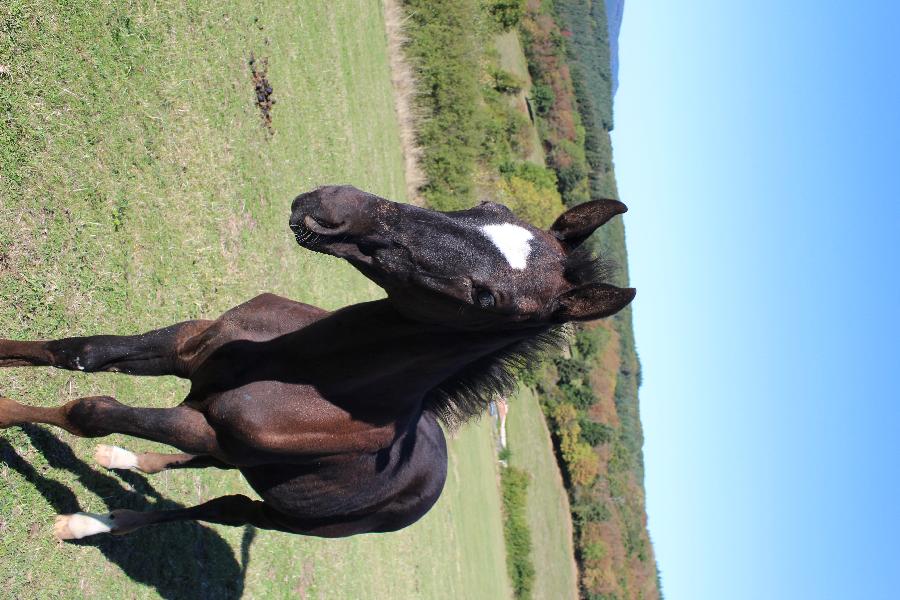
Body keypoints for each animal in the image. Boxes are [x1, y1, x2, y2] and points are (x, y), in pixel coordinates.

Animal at [0, 185, 635, 540]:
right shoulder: (191, 348)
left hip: (283, 512)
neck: (302, 365)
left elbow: (89, 410)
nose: (335, 206)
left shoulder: (208, 424)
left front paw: (12, 418)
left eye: (486, 299)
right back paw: (122, 462)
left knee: (223, 505)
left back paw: (89, 525)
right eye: (486, 204)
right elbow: (76, 353)